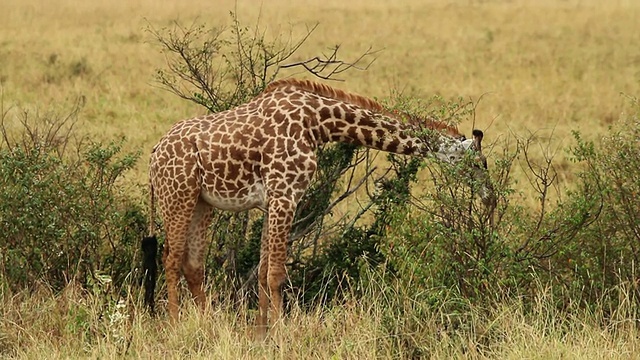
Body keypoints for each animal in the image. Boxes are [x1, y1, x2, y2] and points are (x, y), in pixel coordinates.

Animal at [144, 78, 496, 332]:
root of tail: (154, 153)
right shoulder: (286, 194)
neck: (319, 122)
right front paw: (282, 333)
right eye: (481, 163)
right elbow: (276, 273)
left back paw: (207, 326)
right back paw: (174, 328)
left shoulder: (271, 200)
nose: (491, 199)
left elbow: (262, 271)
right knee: (171, 259)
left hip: (202, 203)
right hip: (178, 196)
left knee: (193, 264)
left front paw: (261, 333)